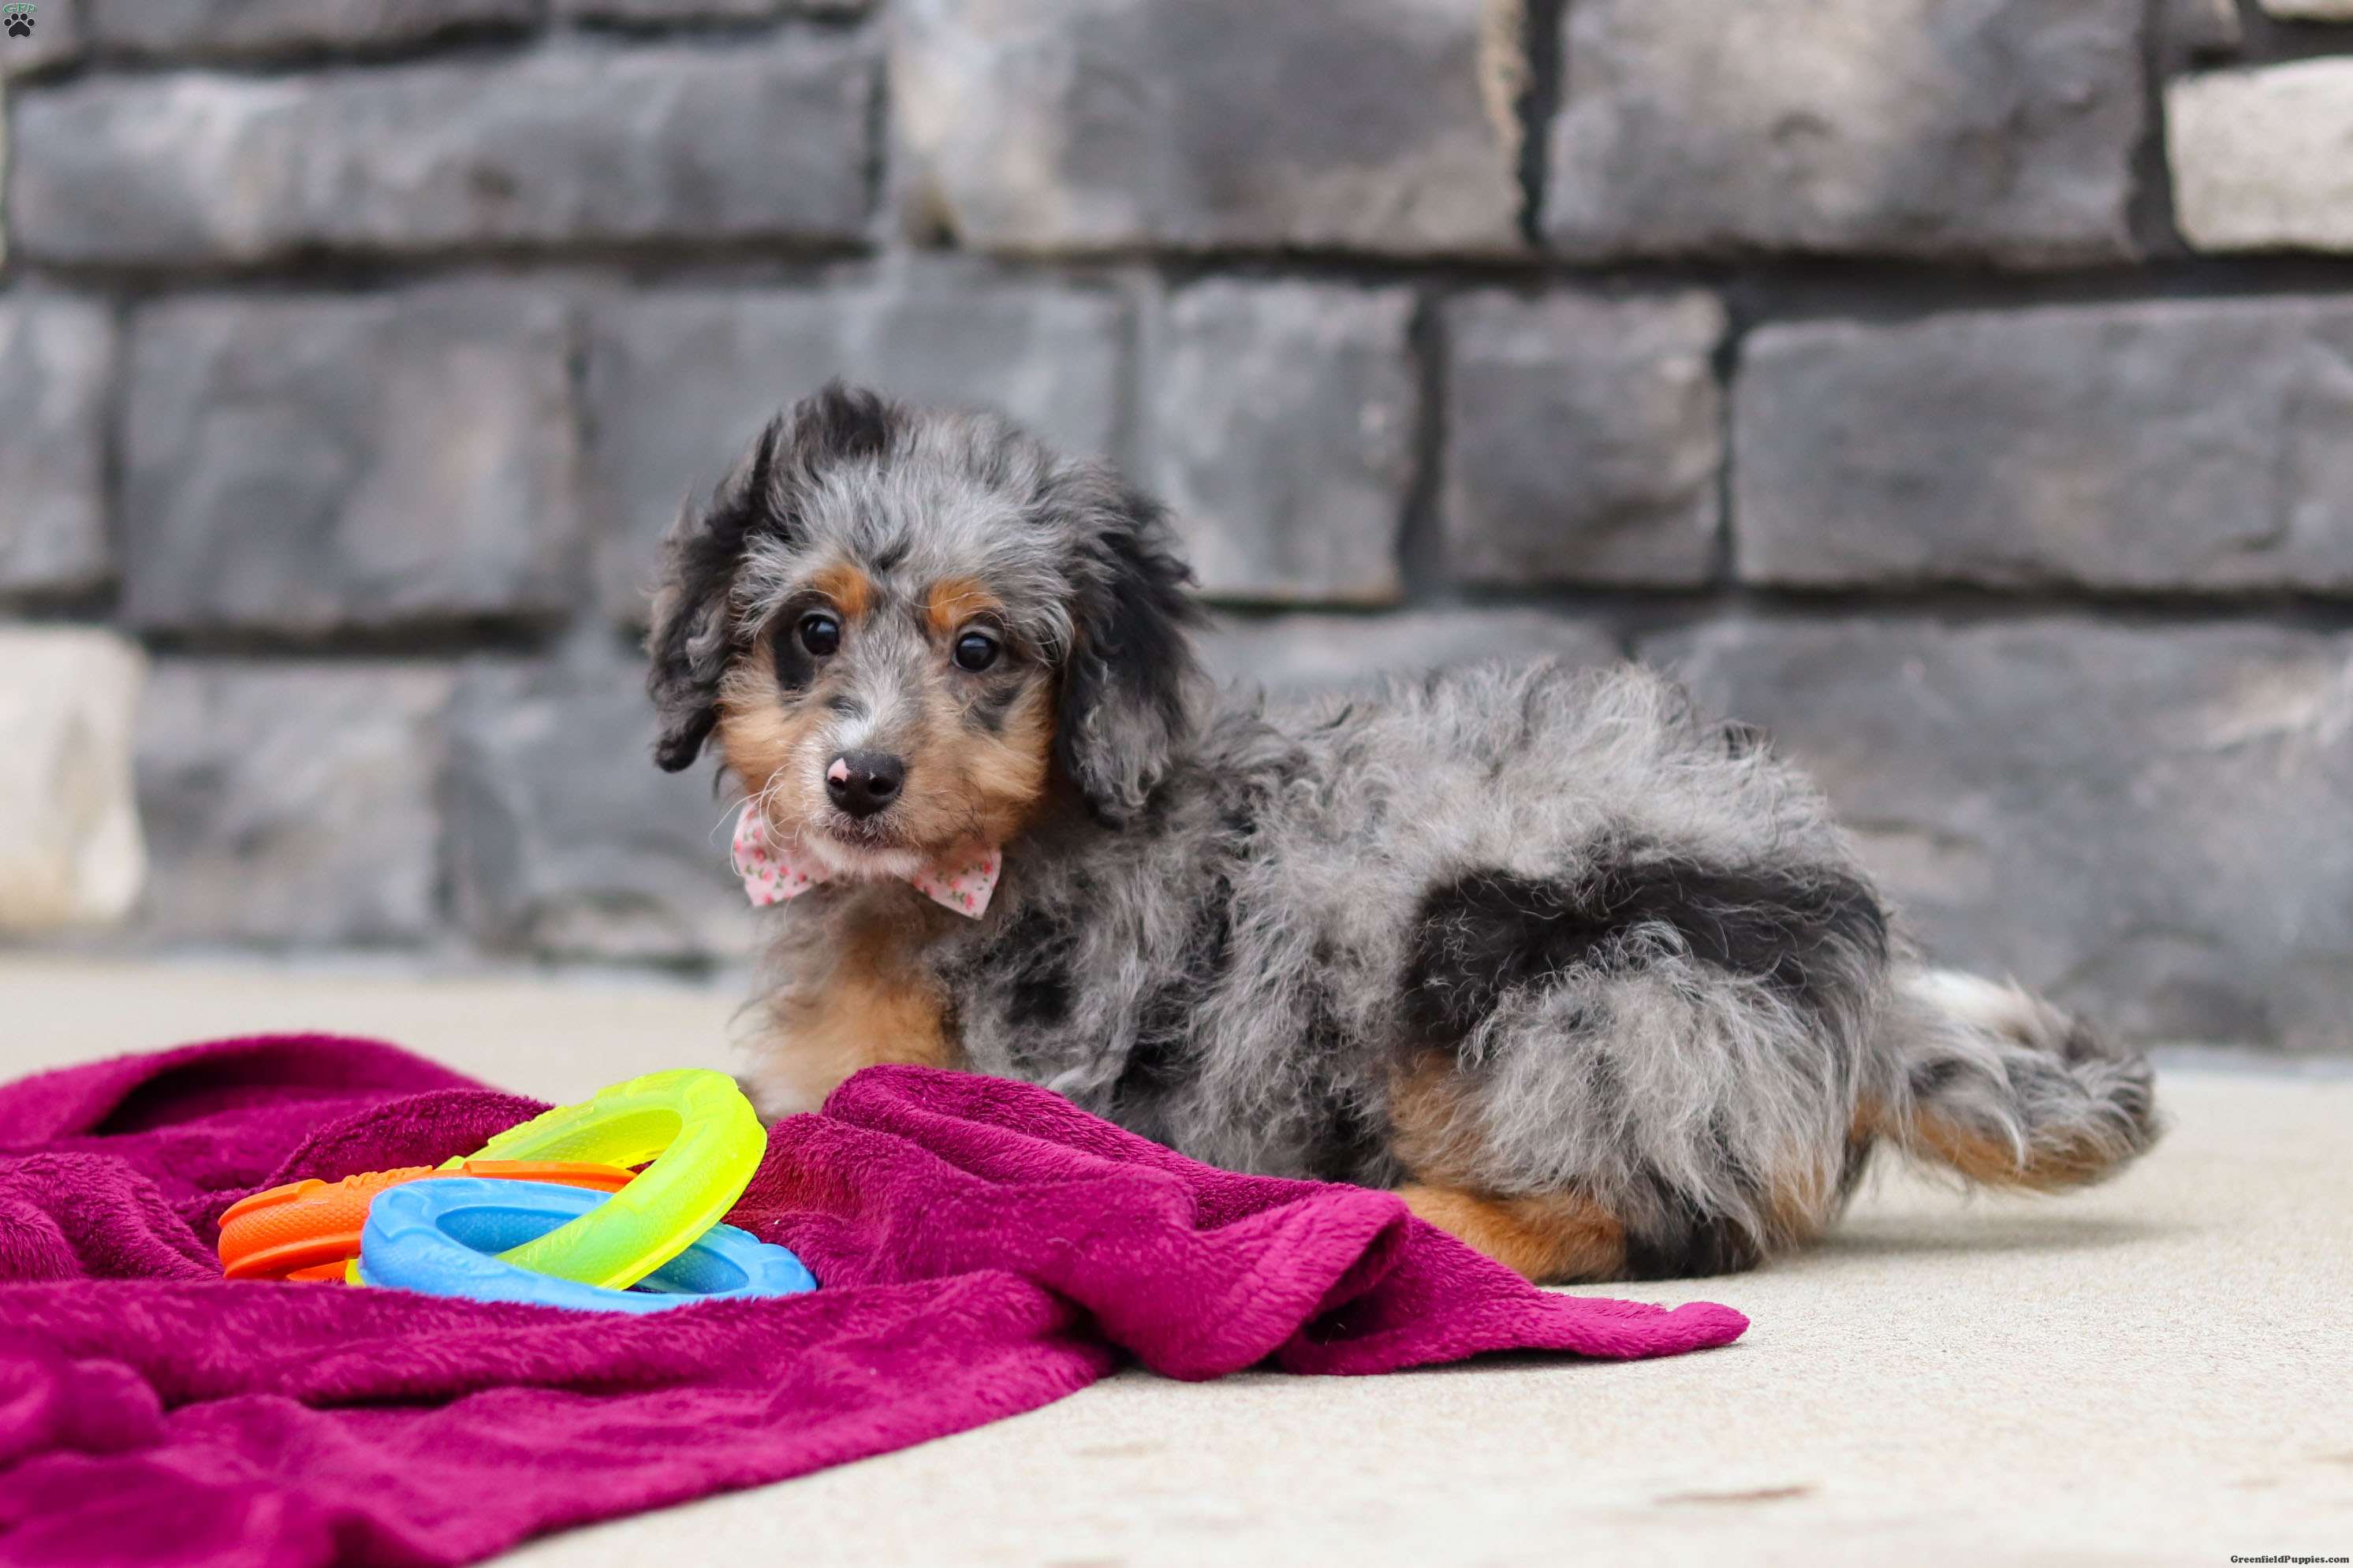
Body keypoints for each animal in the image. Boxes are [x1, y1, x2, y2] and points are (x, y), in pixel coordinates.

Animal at [644, 382, 2160, 1283]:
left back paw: (1401, 1220)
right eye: (811, 632)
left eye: (980, 649)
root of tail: (1865, 996)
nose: (860, 777)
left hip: (1516, 967)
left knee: (1637, 1214)